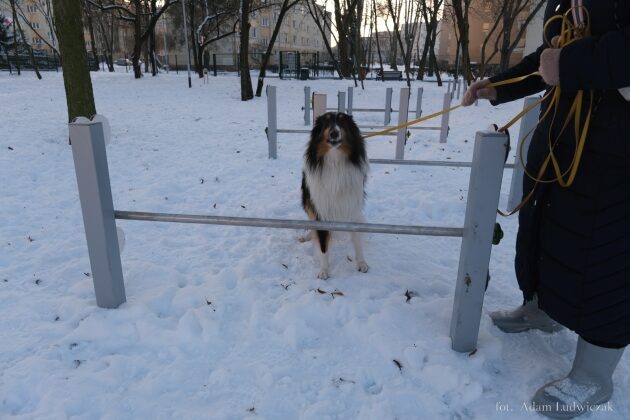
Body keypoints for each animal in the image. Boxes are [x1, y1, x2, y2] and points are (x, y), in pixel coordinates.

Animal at [302, 111, 370, 278]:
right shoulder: (321, 211)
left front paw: (361, 263)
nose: (334, 133)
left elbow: (357, 239)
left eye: (342, 122)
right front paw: (324, 270)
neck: (335, 161)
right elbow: (323, 246)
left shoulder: (352, 206)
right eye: (326, 123)